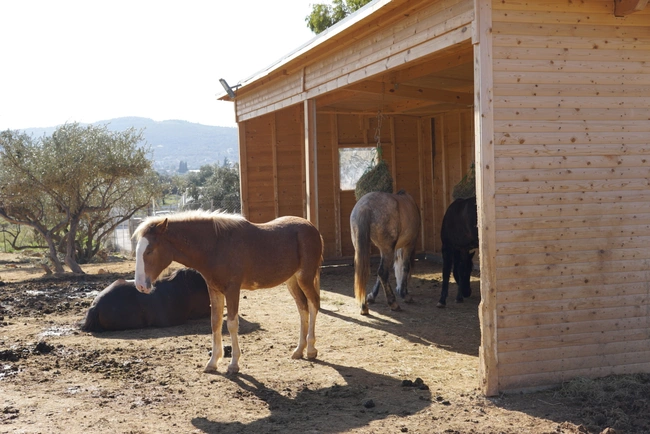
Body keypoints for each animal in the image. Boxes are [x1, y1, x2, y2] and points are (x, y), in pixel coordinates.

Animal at [132, 210, 323, 375]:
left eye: (150, 250)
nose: (140, 286)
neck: (216, 246)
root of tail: (311, 227)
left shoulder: (232, 289)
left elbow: (232, 324)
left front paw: (233, 364)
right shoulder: (215, 290)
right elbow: (215, 322)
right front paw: (212, 362)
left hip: (305, 278)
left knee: (313, 304)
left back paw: (311, 349)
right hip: (292, 281)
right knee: (303, 309)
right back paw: (299, 350)